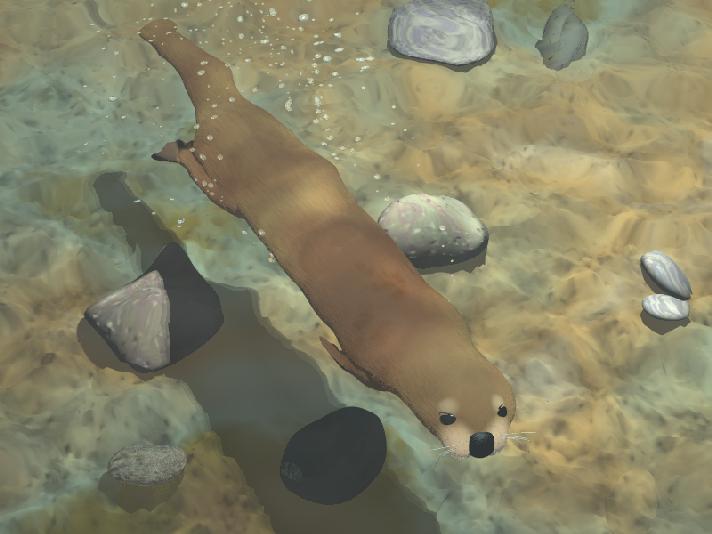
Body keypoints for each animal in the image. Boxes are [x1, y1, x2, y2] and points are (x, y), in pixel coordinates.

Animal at [139, 19, 515, 459]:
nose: (482, 441)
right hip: (224, 178)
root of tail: (228, 104)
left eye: (503, 409)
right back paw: (172, 149)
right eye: (447, 417)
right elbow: (345, 362)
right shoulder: (370, 361)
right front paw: (323, 345)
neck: (418, 329)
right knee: (198, 164)